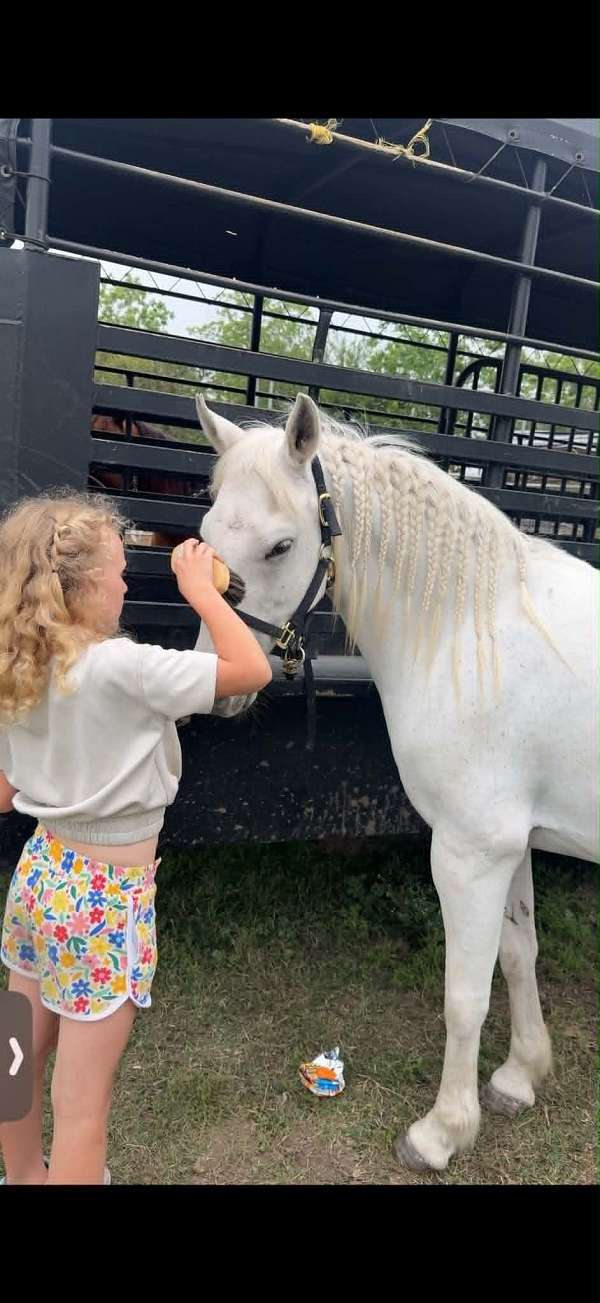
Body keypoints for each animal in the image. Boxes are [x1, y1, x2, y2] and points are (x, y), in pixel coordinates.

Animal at [193, 391, 598, 1173]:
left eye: (280, 547)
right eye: (204, 535)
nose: (218, 683)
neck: (473, 628)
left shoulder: (469, 853)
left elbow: (465, 995)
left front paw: (442, 1131)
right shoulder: (512, 844)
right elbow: (519, 954)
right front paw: (520, 1076)